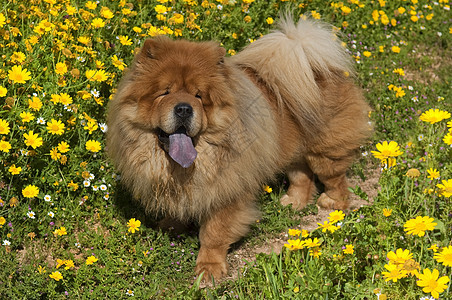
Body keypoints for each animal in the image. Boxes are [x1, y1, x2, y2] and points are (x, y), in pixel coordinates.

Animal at [107, 17, 370, 282]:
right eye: (165, 93)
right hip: (292, 152)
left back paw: (332, 203)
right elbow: (178, 208)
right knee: (302, 177)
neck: (187, 166)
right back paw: (292, 202)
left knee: (335, 178)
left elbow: (214, 233)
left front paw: (209, 269)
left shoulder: (228, 191)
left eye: (199, 96)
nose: (183, 108)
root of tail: (322, 69)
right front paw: (169, 227)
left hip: (324, 152)